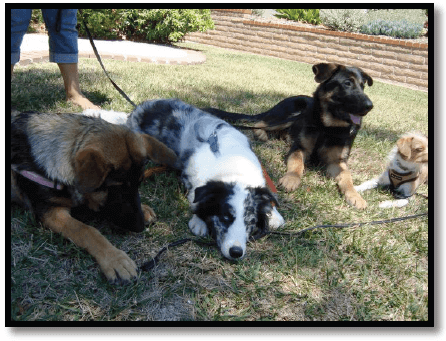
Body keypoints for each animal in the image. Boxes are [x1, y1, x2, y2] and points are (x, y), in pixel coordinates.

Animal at [10, 111, 178, 282]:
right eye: (116, 188)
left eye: (139, 183)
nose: (140, 228)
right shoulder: (51, 212)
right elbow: (87, 230)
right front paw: (115, 259)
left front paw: (143, 209)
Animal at [205, 62, 372, 209]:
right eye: (347, 83)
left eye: (363, 86)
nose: (370, 106)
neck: (327, 127)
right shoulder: (299, 148)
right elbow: (297, 163)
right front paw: (291, 178)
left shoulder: (337, 161)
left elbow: (347, 177)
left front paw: (355, 196)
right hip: (290, 114)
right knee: (260, 122)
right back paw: (261, 134)